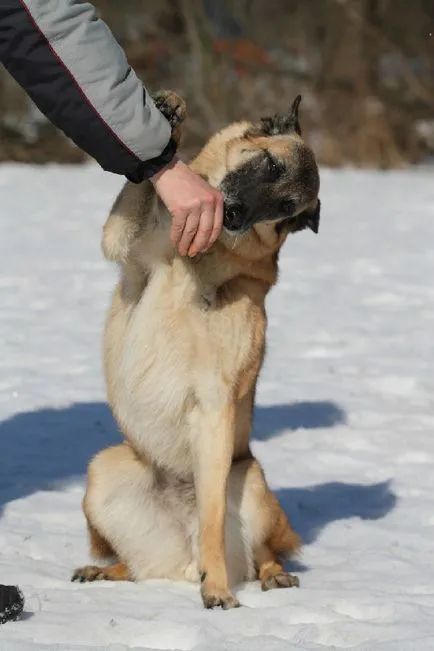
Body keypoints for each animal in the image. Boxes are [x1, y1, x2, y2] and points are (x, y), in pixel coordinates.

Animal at [72, 90, 322, 612]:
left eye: (285, 206)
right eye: (270, 165)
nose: (235, 215)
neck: (202, 256)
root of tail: (180, 561)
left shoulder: (214, 406)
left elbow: (212, 516)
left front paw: (219, 589)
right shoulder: (125, 246)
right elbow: (137, 195)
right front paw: (170, 116)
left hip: (249, 478)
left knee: (260, 549)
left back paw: (264, 575)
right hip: (104, 470)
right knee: (133, 565)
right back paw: (104, 571)